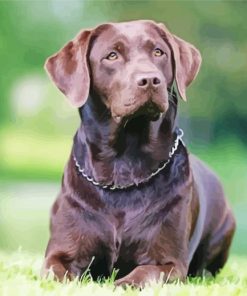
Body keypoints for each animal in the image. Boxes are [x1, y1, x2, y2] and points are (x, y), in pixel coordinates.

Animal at [42, 20, 235, 286]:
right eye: (112, 55)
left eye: (158, 52)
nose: (150, 79)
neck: (124, 164)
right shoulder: (59, 255)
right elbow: (59, 273)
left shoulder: (169, 263)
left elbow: (138, 276)